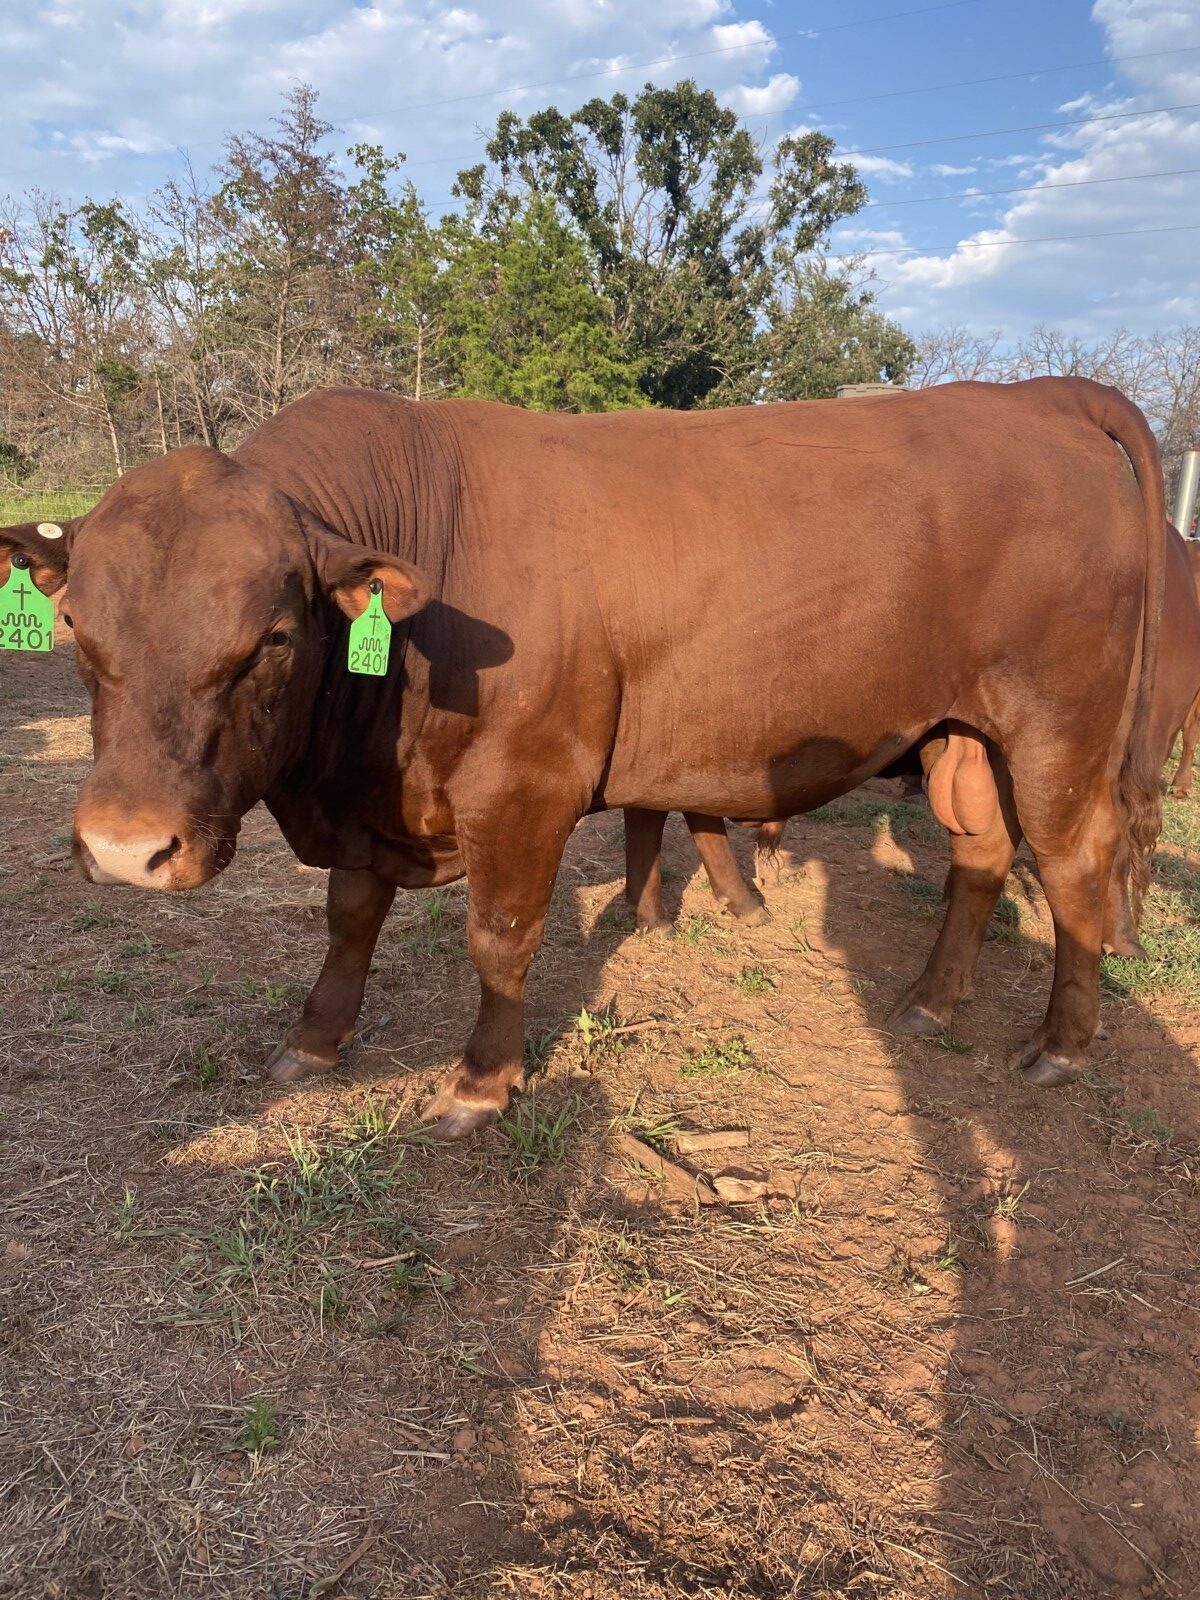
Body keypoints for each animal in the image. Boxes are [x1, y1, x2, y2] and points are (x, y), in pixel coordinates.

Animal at [0, 378, 1164, 1139]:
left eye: (272, 638)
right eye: (77, 626)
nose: (127, 849)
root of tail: (1035, 394)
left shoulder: (525, 788)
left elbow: (501, 938)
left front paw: (481, 1081)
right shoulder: (374, 803)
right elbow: (350, 918)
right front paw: (317, 1039)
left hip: (1057, 728)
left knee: (1074, 866)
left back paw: (1062, 1045)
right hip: (961, 736)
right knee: (980, 854)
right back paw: (930, 999)